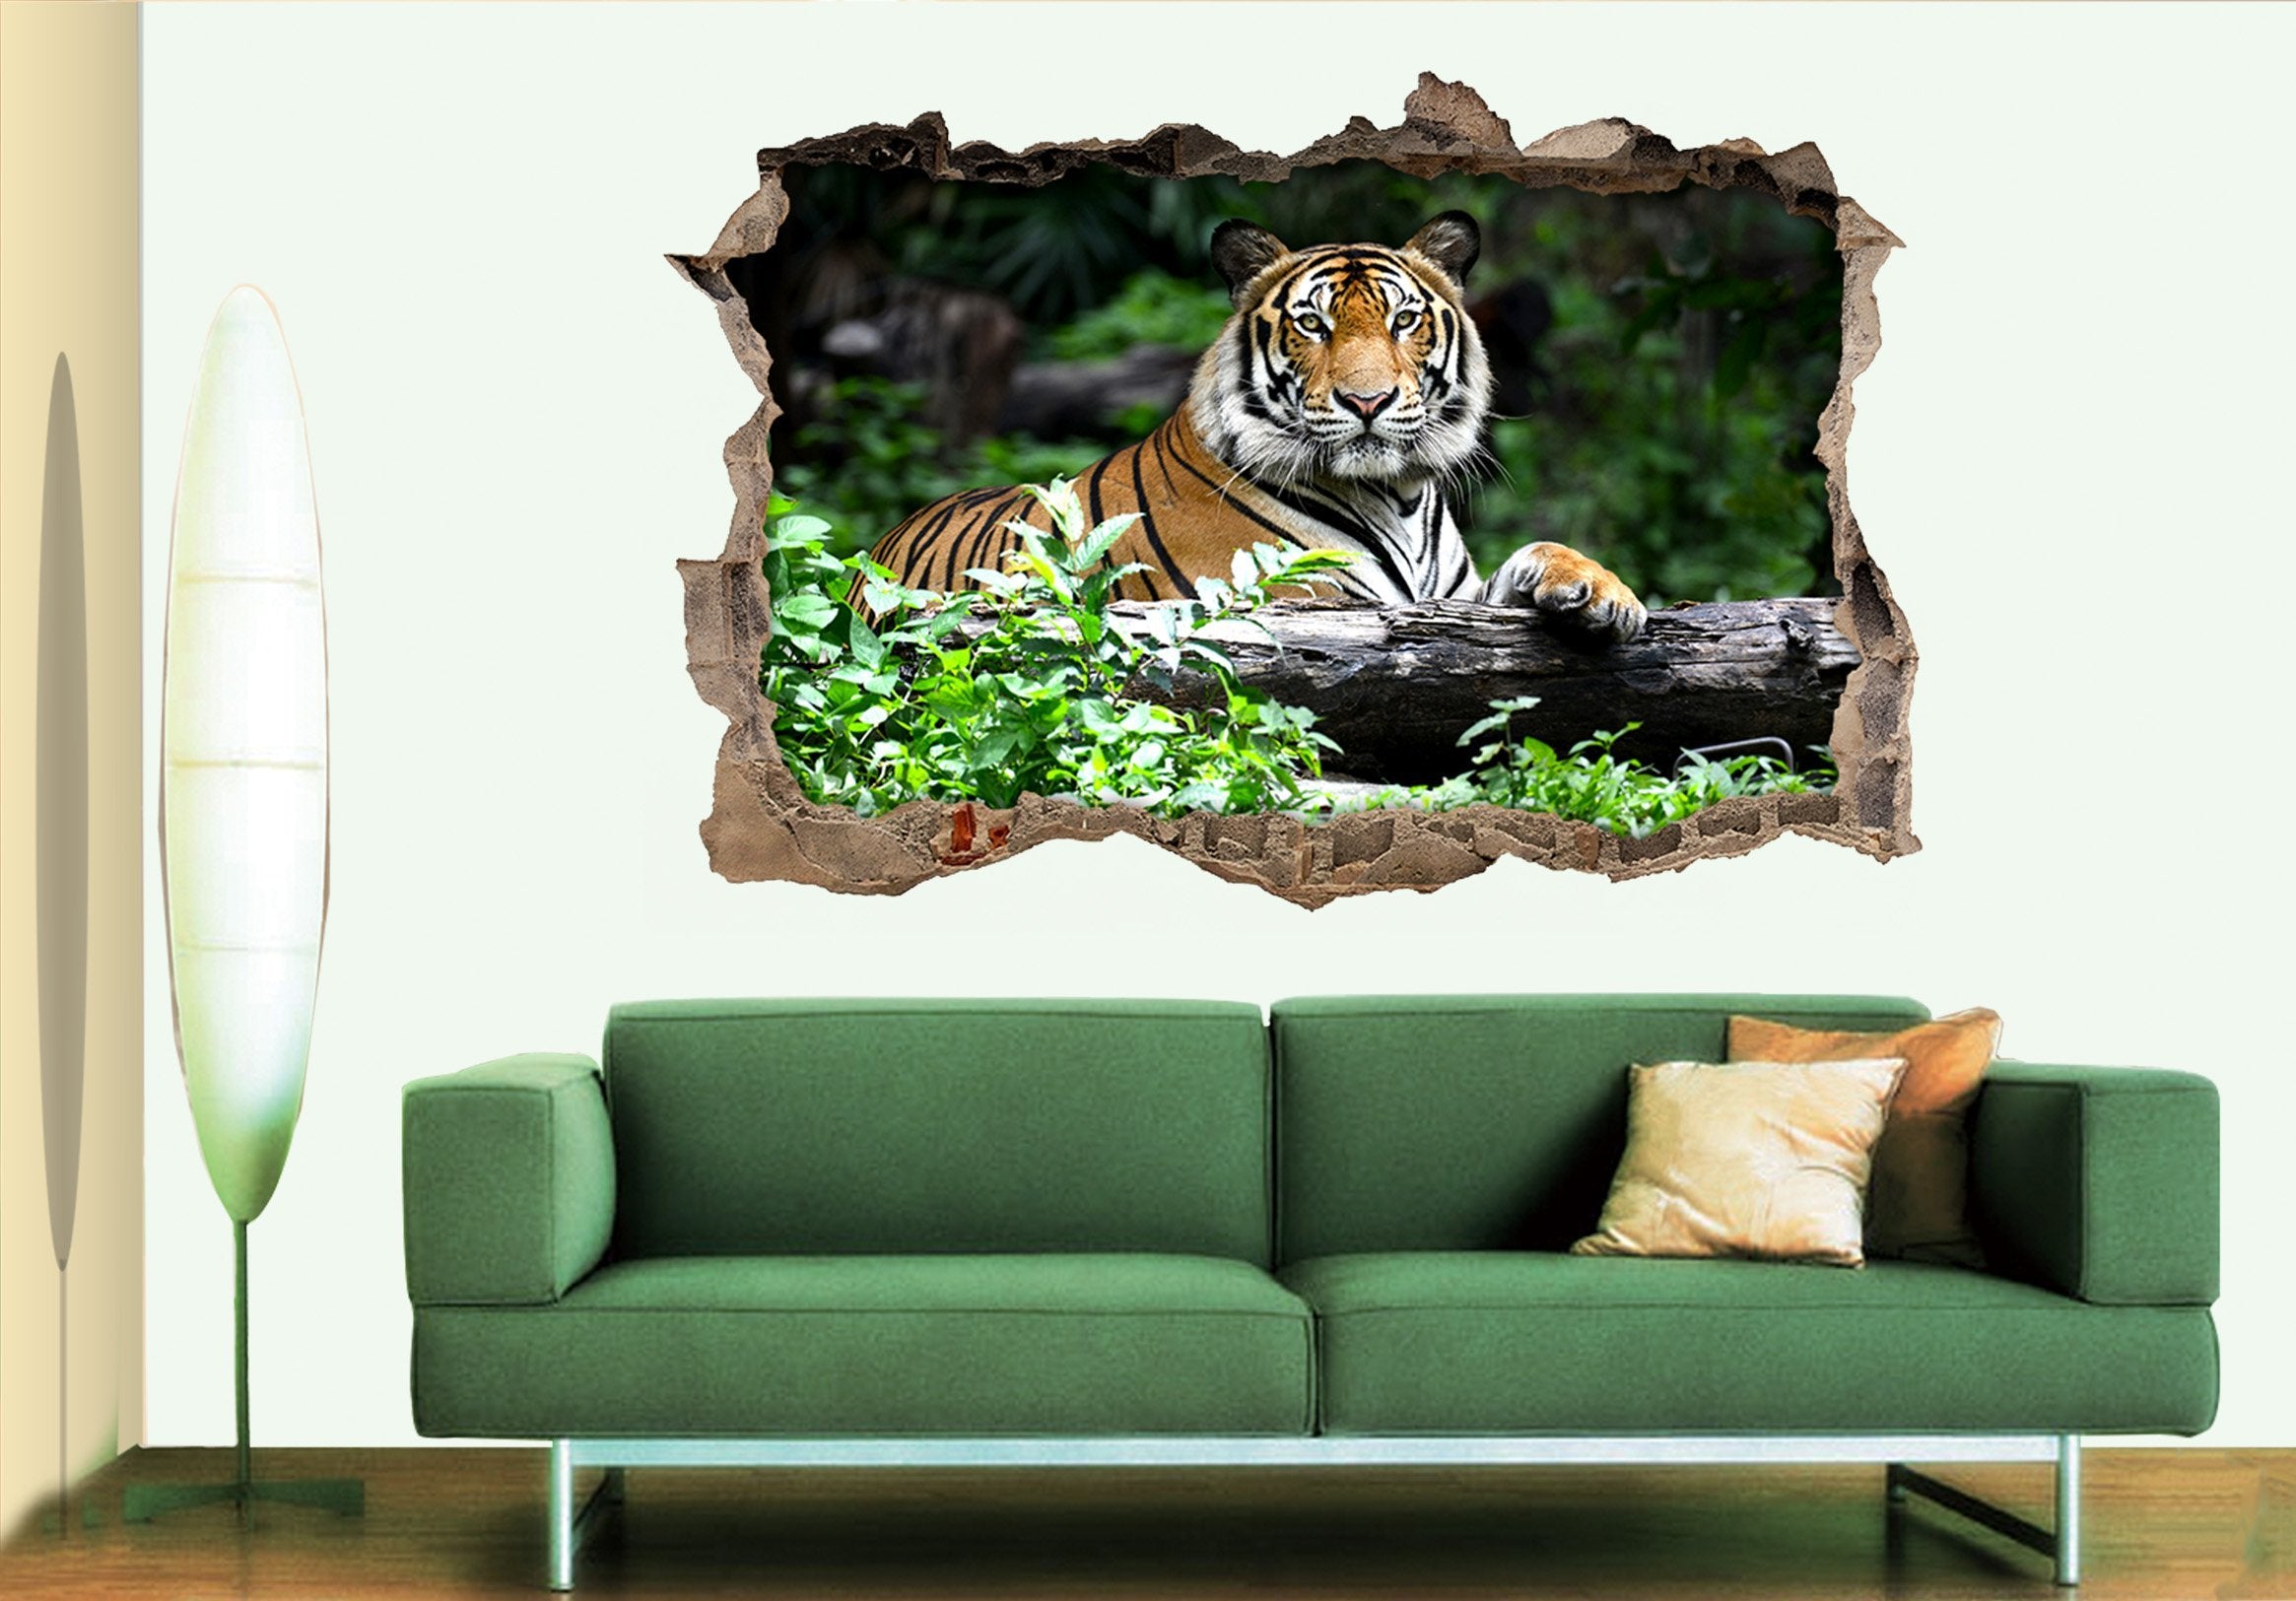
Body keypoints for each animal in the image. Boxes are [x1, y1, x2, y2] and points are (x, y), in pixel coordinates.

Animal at [862, 211, 1645, 642]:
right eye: (1313, 324)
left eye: (1402, 320)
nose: (1368, 402)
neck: (1397, 495)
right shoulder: (1299, 601)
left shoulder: (1452, 601)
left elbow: (1535, 554)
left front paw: (1604, 594)